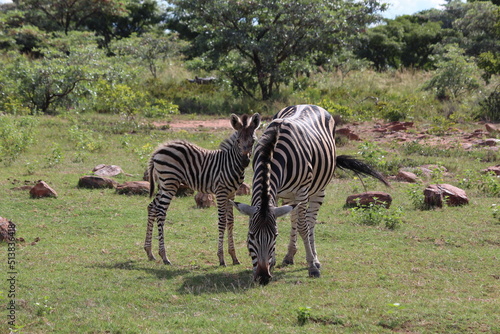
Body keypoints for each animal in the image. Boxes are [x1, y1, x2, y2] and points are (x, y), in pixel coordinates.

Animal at [146, 113, 260, 268]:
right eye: (237, 140)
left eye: (253, 141)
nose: (245, 161)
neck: (230, 163)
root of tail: (158, 150)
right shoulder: (221, 193)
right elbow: (222, 222)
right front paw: (221, 258)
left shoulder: (231, 194)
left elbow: (230, 222)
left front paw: (234, 257)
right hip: (170, 184)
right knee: (161, 212)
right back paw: (164, 256)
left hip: (164, 184)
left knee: (152, 207)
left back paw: (149, 252)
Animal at [232, 104, 388, 284]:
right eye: (251, 235)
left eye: (275, 236)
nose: (263, 277)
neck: (271, 150)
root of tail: (307, 104)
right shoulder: (276, 193)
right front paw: (274, 261)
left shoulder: (302, 191)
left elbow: (303, 227)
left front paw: (312, 266)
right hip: (290, 194)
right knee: (294, 218)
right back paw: (289, 255)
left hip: (317, 190)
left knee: (310, 222)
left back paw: (315, 258)